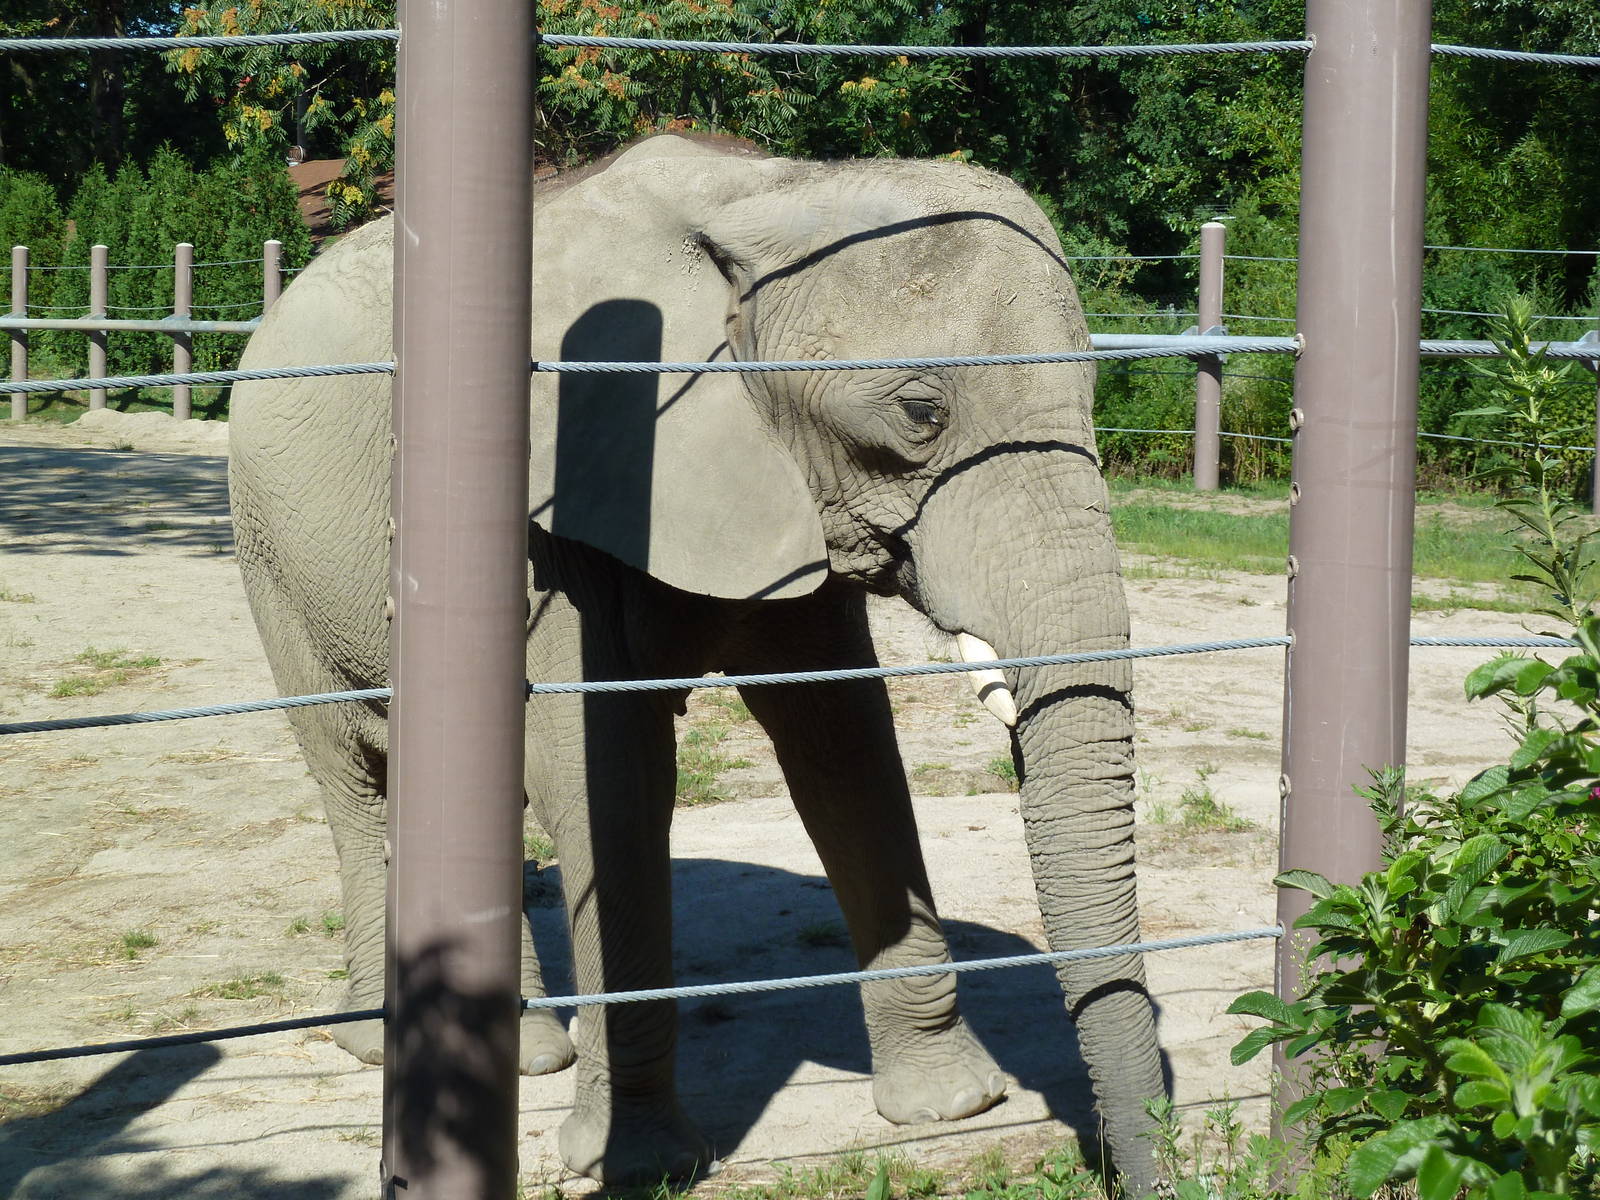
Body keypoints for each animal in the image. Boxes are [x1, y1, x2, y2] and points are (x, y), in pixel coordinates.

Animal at [228, 134, 1163, 1191]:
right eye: (921, 412)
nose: (1141, 1167)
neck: (772, 191)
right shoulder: (562, 497)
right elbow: (607, 779)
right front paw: (639, 1164)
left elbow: (845, 748)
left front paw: (949, 1106)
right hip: (272, 549)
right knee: (357, 768)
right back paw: (396, 1043)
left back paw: (529, 1053)